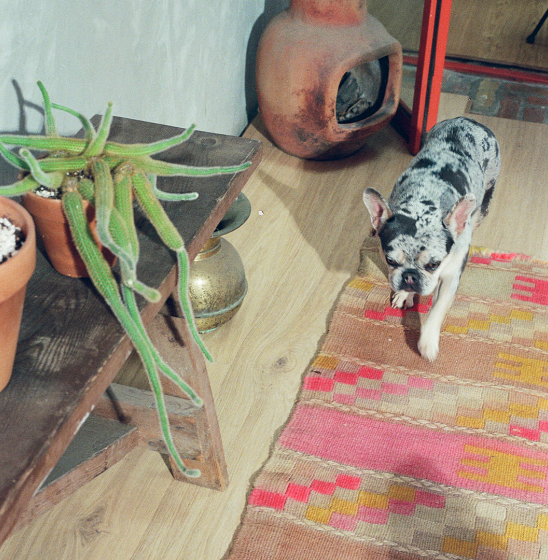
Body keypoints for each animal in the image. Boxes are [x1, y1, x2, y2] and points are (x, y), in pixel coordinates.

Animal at [363, 117, 500, 361]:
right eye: (390, 261)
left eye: (434, 264)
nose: (410, 276)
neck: (424, 201)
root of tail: (470, 120)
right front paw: (404, 294)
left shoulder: (451, 277)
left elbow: (437, 309)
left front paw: (427, 342)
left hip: (486, 196)